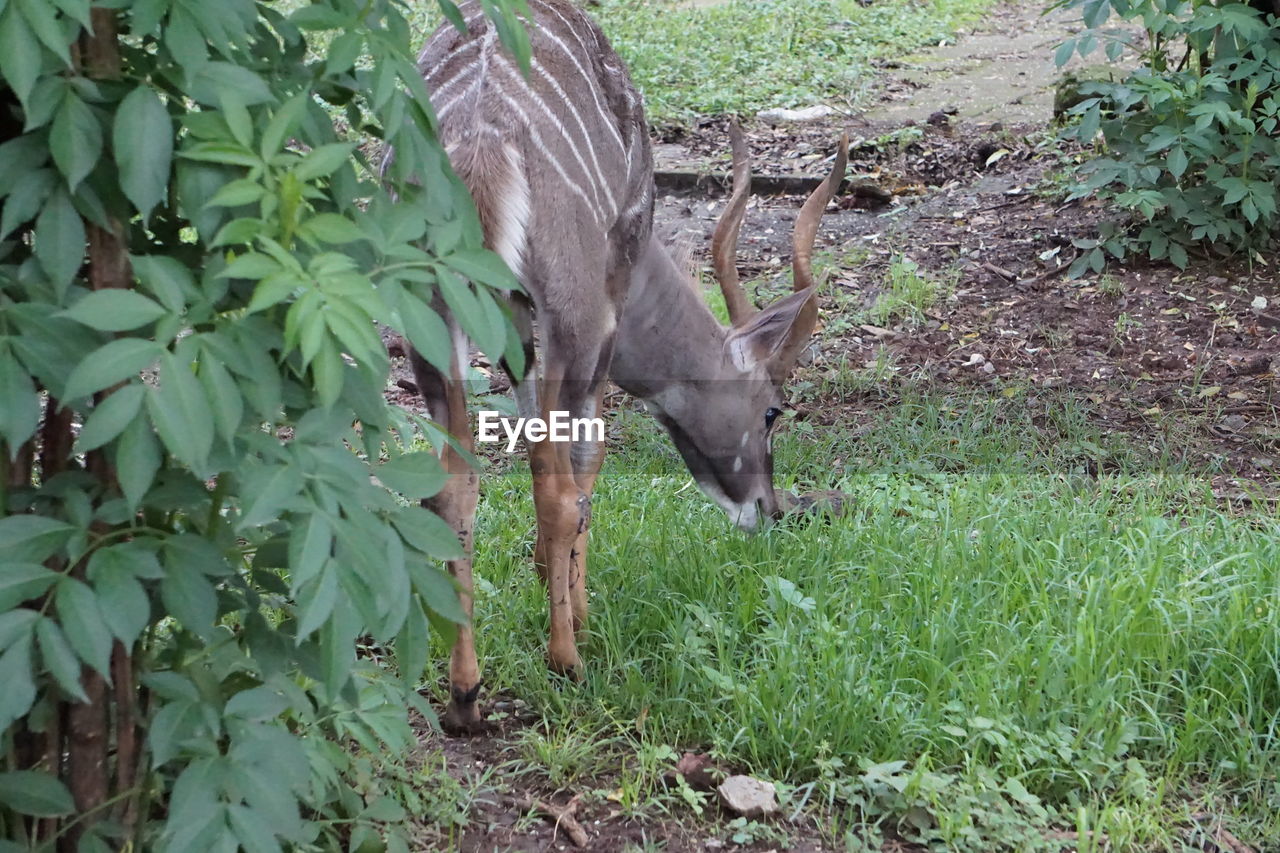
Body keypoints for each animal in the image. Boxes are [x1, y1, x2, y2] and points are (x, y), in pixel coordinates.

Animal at [412, 0, 849, 732]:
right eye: (771, 410)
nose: (770, 510)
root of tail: (479, 144)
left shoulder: (516, 330)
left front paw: (545, 579)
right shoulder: (603, 311)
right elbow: (585, 465)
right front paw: (578, 615)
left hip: (430, 320)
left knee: (450, 490)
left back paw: (465, 694)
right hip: (573, 315)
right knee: (557, 486)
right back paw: (567, 662)